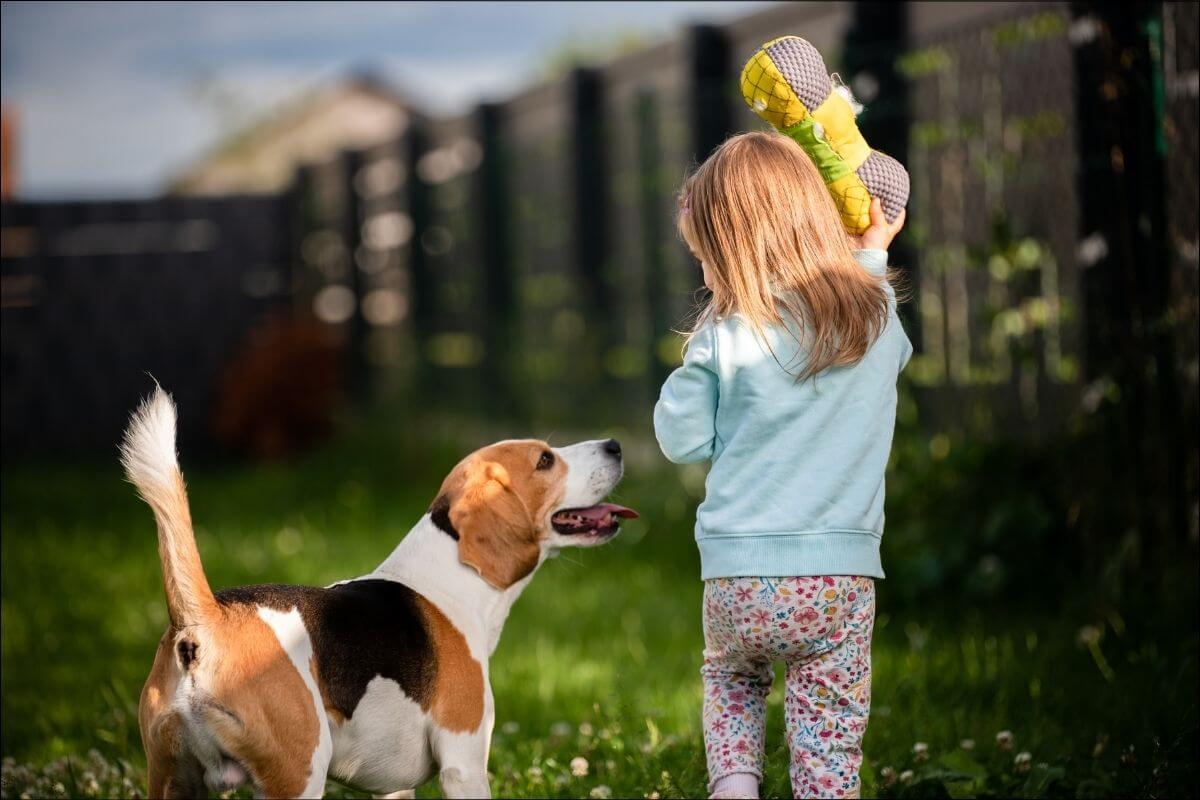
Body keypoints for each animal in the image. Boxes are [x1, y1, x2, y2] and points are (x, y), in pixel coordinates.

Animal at [126, 386, 638, 796]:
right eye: (545, 460)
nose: (614, 444)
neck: (451, 578)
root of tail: (206, 619)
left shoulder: (392, 789)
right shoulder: (464, 763)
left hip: (171, 781)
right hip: (298, 775)